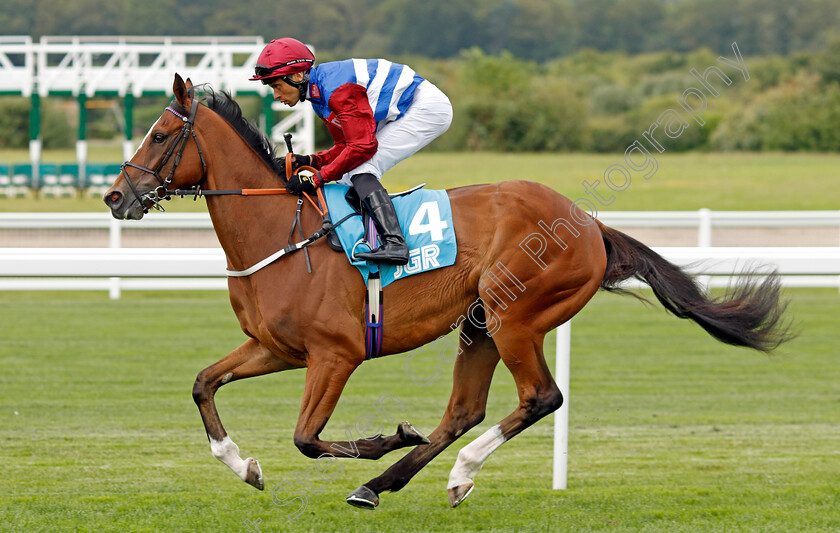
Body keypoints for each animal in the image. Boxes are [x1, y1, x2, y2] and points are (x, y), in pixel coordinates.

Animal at [103, 74, 788, 508]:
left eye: (159, 135)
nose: (115, 196)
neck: (280, 233)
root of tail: (590, 223)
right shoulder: (276, 348)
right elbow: (203, 384)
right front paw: (243, 465)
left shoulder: (335, 354)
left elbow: (306, 437)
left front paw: (386, 438)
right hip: (480, 321)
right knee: (465, 409)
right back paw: (380, 485)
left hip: (517, 315)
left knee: (541, 397)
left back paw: (453, 473)